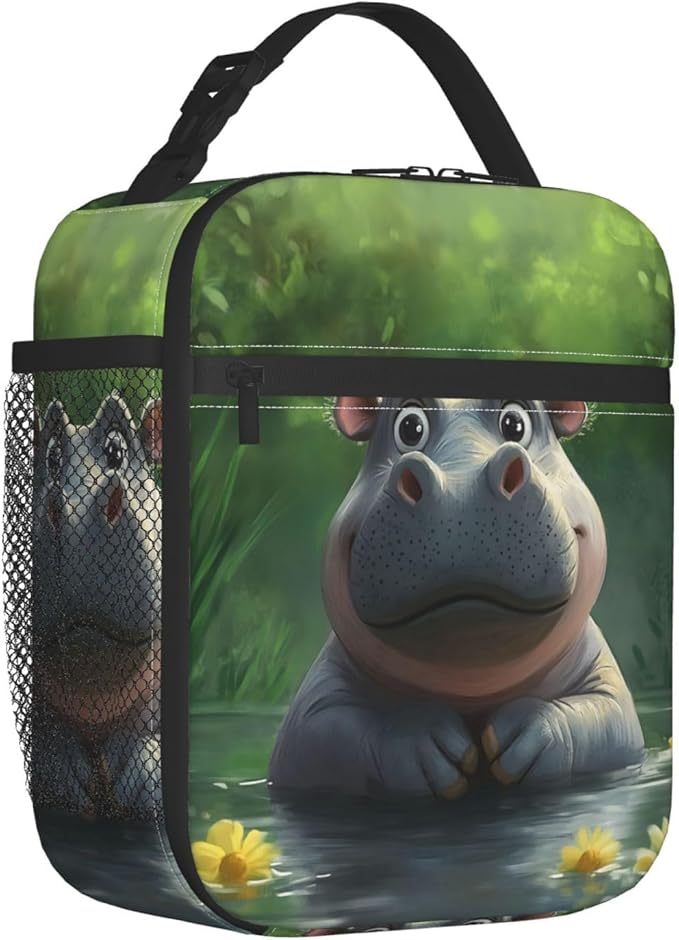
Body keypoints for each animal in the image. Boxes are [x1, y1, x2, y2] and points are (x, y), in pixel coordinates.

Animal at [269, 397, 644, 797]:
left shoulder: (606, 679)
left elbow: (607, 718)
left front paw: (523, 732)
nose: (460, 490)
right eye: (409, 427)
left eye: (516, 423)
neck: (473, 687)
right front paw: (426, 740)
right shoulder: (313, 708)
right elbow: (326, 730)